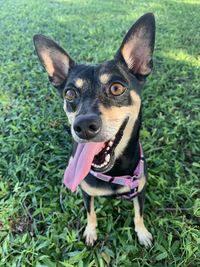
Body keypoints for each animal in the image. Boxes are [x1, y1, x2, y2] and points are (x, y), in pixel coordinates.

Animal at [33, 13, 156, 249]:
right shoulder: (85, 191)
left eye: (116, 88)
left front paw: (142, 232)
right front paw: (91, 231)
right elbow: (90, 213)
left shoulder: (140, 189)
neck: (114, 172)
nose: (83, 126)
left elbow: (139, 214)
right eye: (70, 93)